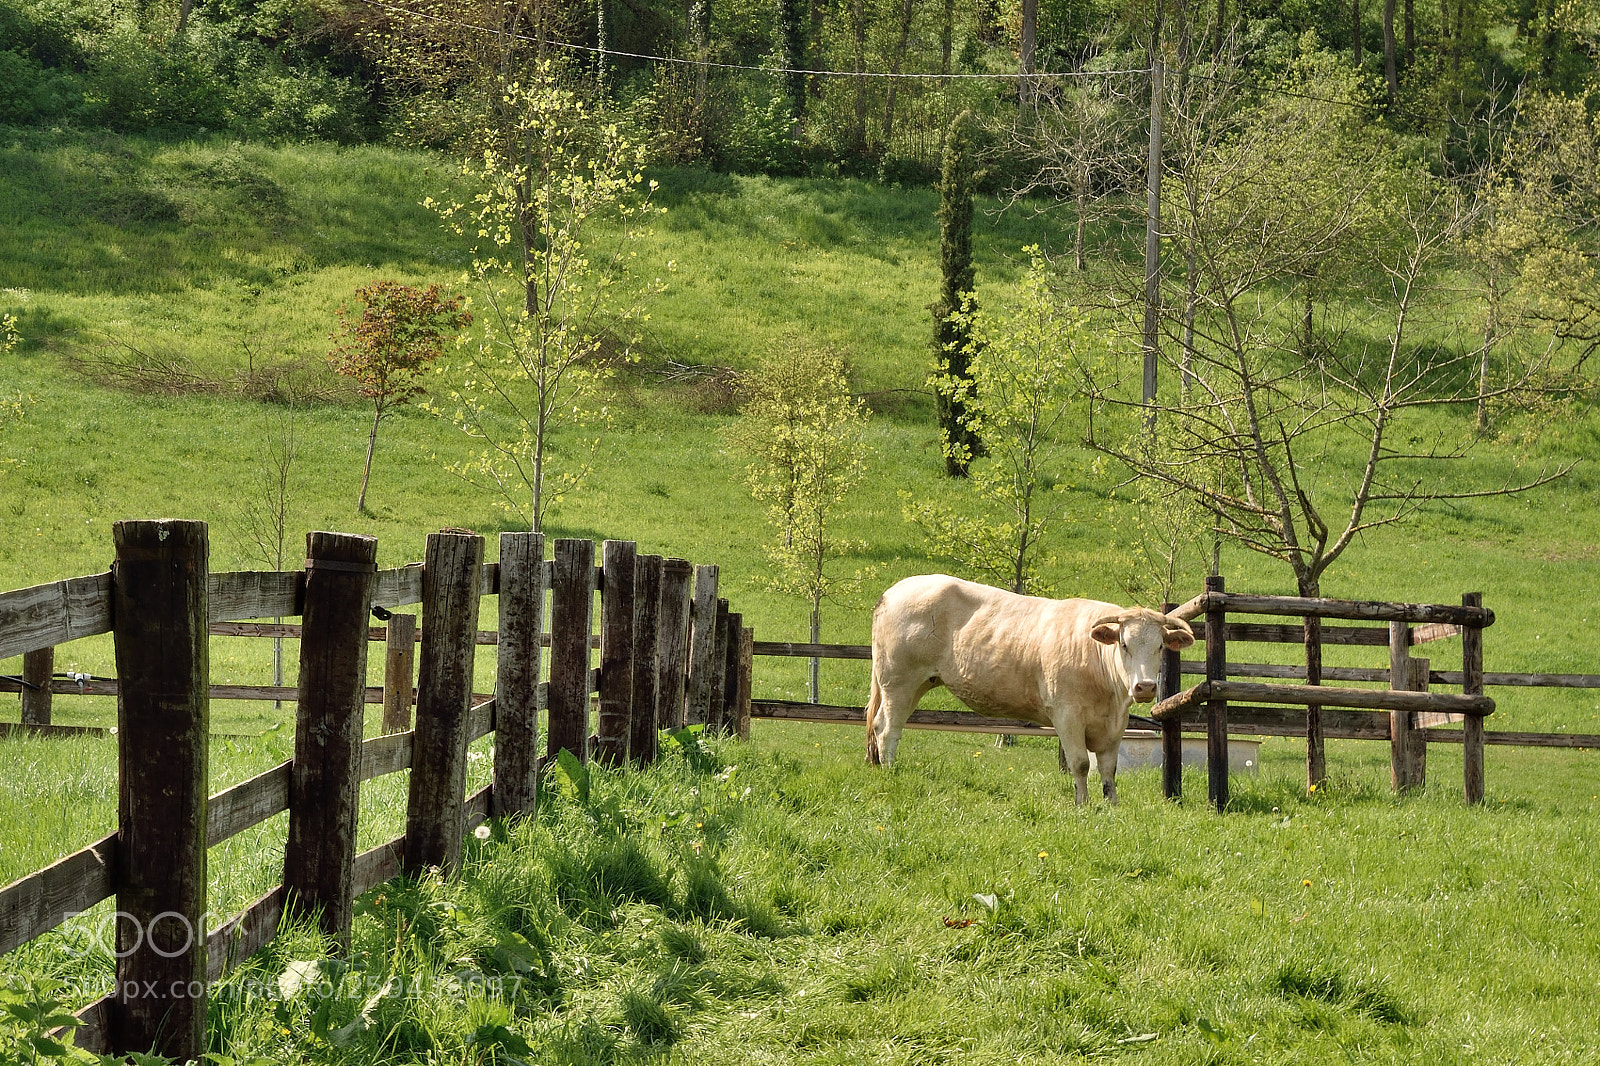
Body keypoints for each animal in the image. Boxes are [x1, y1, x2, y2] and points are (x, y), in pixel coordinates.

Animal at [864, 574, 1195, 805]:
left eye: (1160, 646)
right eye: (1124, 644)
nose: (1145, 686)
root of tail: (894, 591)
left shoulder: (1114, 724)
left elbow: (1108, 770)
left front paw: (1111, 806)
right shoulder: (1066, 715)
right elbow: (1080, 763)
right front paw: (1083, 805)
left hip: (918, 683)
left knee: (883, 724)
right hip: (899, 681)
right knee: (887, 728)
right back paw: (890, 771)